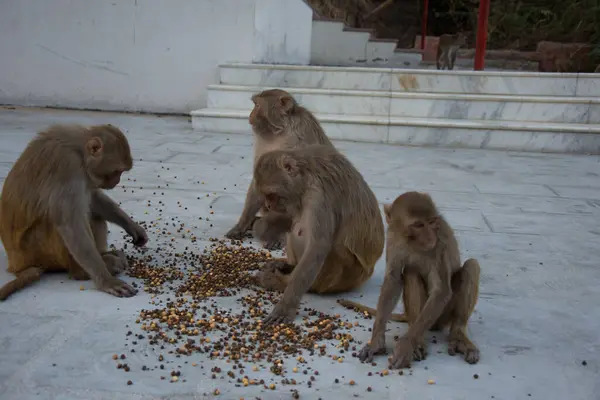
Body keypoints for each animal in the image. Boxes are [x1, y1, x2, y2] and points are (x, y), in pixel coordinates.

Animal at [0, 123, 149, 298]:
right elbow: (71, 226)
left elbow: (93, 198)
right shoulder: (67, 166)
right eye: (117, 171)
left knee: (93, 214)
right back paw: (83, 271)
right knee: (57, 220)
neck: (80, 151)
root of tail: (17, 264)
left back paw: (107, 256)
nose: (117, 181)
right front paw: (107, 281)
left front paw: (133, 228)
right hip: (39, 252)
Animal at [223, 90, 332, 250]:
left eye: (257, 105)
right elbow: (259, 178)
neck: (280, 133)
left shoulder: (302, 139)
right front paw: (241, 225)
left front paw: (280, 237)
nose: (250, 116)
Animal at [252, 144, 386, 324]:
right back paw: (287, 266)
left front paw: (286, 306)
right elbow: (290, 220)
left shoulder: (318, 197)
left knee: (330, 246)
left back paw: (279, 281)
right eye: (266, 196)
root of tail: (368, 273)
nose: (267, 205)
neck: (306, 178)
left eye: (271, 195)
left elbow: (317, 247)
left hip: (347, 276)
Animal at [342, 192, 478, 370]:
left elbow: (441, 291)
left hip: (444, 315)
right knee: (410, 272)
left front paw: (406, 346)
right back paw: (418, 338)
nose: (430, 236)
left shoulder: (439, 243)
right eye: (419, 225)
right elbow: (393, 279)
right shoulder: (393, 238)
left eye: (432, 222)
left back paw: (457, 336)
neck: (412, 242)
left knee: (471, 266)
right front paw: (376, 342)